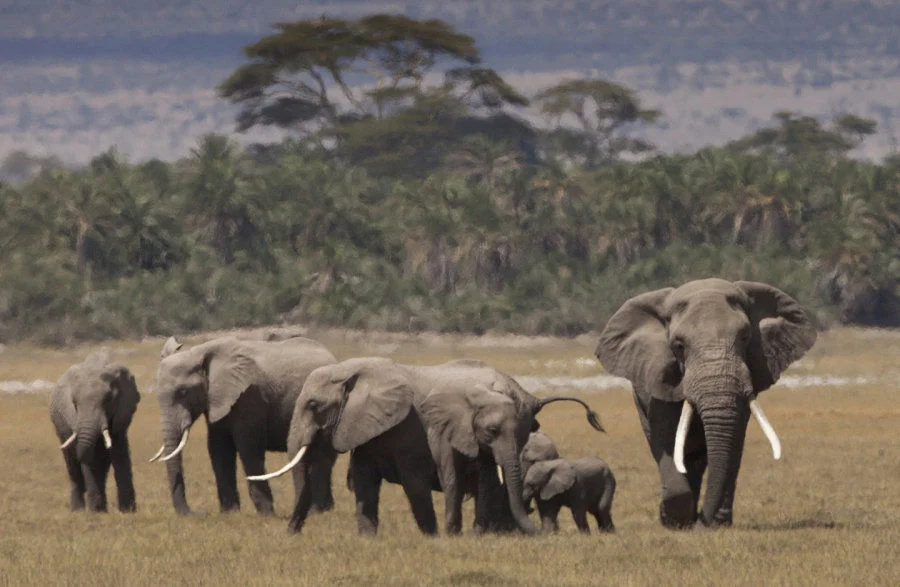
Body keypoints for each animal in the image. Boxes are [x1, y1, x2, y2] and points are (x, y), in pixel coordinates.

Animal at [49, 351, 140, 512]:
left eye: (108, 400)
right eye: (74, 403)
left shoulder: (121, 412)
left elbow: (120, 452)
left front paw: (128, 511)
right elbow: (89, 460)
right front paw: (96, 512)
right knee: (72, 464)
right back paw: (78, 510)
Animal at [150, 335, 337, 516]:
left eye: (183, 392)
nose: (198, 513)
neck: (200, 351)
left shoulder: (250, 396)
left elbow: (249, 447)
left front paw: (266, 514)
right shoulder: (216, 400)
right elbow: (219, 449)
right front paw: (230, 514)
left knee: (322, 458)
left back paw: (318, 512)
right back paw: (325, 510)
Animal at [251, 357, 604, 535]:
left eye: (313, 405)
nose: (291, 532)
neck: (351, 370)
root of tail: (530, 396)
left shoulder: (409, 426)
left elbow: (413, 480)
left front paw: (432, 536)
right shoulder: (367, 426)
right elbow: (364, 478)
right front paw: (368, 536)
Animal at [595, 278, 817, 528]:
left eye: (745, 338)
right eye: (679, 345)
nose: (704, 520)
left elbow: (734, 440)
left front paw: (714, 524)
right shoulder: (660, 376)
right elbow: (666, 434)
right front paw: (673, 521)